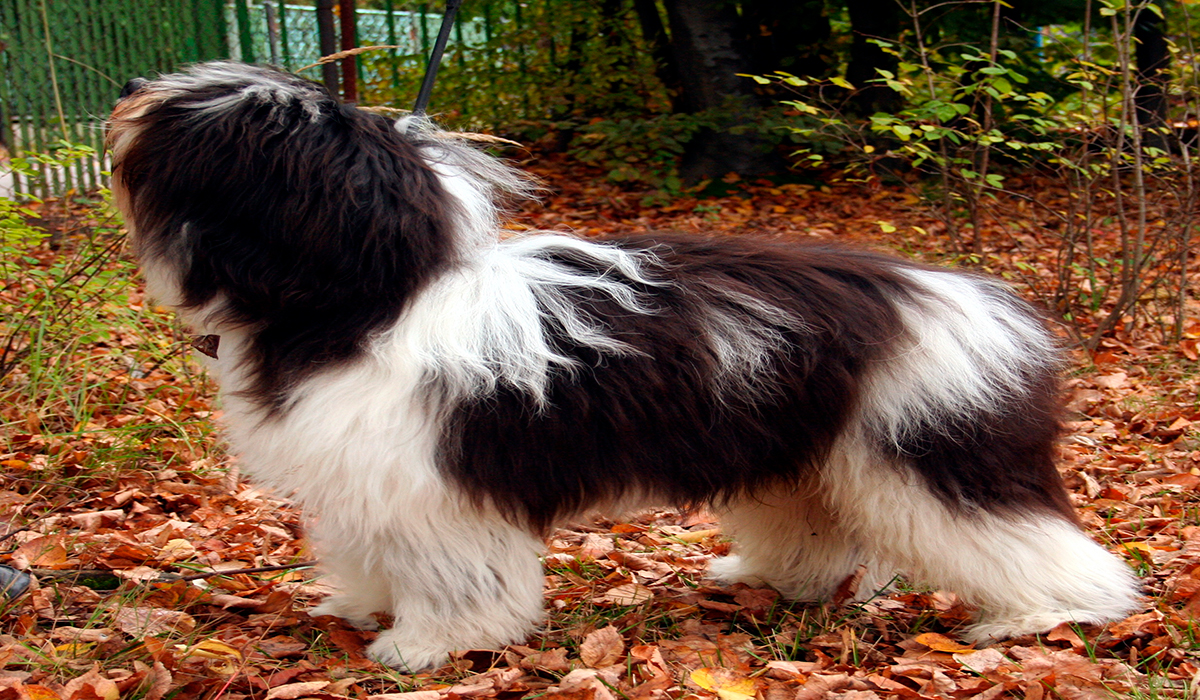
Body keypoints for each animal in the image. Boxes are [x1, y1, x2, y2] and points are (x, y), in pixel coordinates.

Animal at [105, 63, 1142, 672]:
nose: (134, 96)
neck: (370, 298)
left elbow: (454, 582)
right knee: (819, 528)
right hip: (807, 455)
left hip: (933, 452)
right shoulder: (372, 482)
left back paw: (1044, 616)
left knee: (1042, 547)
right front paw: (364, 609)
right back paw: (774, 578)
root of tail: (970, 296)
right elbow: (370, 555)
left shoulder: (437, 493)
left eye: (227, 125)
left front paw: (423, 646)